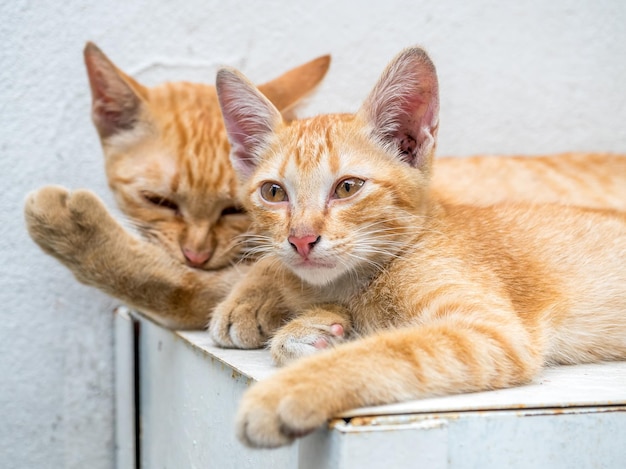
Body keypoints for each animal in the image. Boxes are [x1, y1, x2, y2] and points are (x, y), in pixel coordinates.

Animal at [211, 46, 624, 446]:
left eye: (347, 187)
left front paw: (290, 389)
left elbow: (389, 349)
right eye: (273, 192)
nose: (301, 238)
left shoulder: (493, 332)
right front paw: (318, 325)